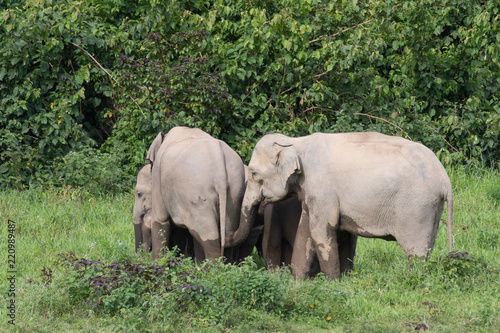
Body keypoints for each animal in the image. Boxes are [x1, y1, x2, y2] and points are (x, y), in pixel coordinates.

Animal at [146, 126, 246, 260]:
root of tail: (217, 158)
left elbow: (160, 219)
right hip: (235, 189)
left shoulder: (157, 175)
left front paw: (157, 262)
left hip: (196, 192)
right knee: (226, 233)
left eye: (151, 164)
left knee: (208, 234)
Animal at [227, 131, 454, 278]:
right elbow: (305, 232)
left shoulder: (322, 190)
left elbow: (320, 232)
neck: (296, 142)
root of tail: (445, 179)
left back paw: (414, 280)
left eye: (254, 173)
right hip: (432, 208)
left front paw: (332, 283)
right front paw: (297, 283)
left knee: (416, 253)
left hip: (417, 207)